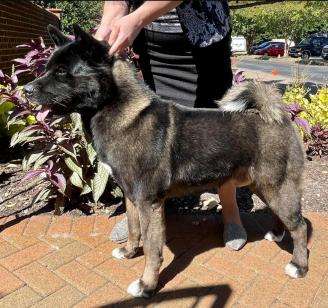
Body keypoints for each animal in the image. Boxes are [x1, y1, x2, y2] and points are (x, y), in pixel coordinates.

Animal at [24, 25, 308, 300]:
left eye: (62, 72)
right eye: (47, 68)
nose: (26, 90)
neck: (121, 112)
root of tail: (279, 116)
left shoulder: (149, 202)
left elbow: (152, 250)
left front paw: (147, 285)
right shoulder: (131, 196)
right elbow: (133, 228)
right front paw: (129, 252)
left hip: (276, 187)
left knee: (301, 226)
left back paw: (299, 266)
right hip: (263, 186)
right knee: (283, 217)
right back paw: (277, 233)